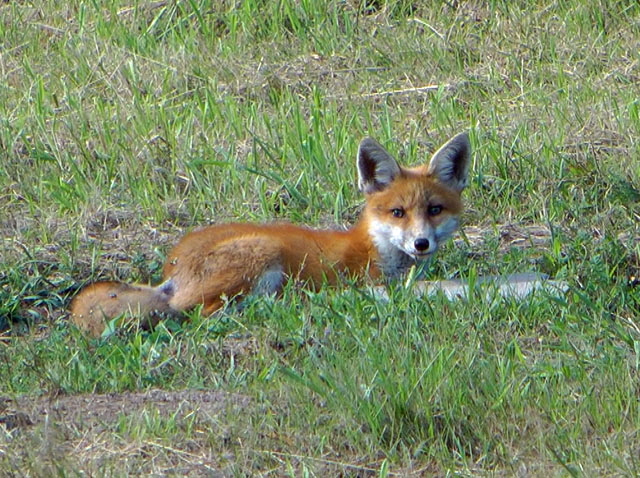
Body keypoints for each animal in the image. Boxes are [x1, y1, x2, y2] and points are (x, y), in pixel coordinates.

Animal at [70, 132, 471, 336]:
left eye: (434, 210)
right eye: (398, 212)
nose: (421, 243)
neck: (377, 249)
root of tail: (171, 271)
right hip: (263, 252)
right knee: (204, 312)